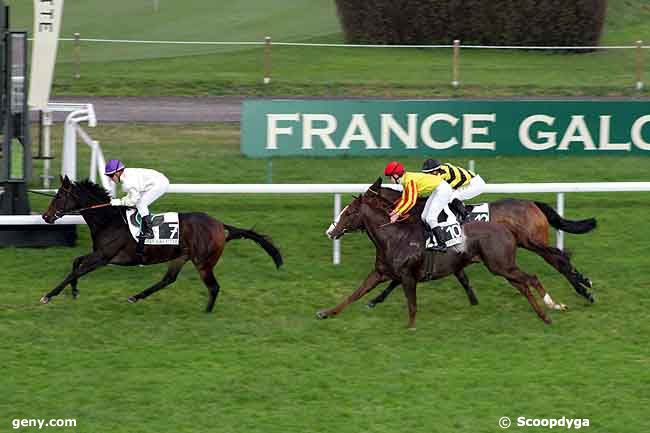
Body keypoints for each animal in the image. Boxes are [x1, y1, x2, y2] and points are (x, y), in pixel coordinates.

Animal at [40, 176, 282, 310]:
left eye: (59, 196)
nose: (45, 216)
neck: (109, 220)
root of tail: (220, 225)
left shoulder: (104, 257)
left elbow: (76, 270)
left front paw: (48, 296)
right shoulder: (99, 254)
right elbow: (76, 263)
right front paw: (74, 292)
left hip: (203, 262)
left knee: (213, 287)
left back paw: (206, 312)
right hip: (181, 257)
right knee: (168, 279)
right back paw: (135, 297)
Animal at [318, 177, 568, 326]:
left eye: (349, 213)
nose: (331, 231)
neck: (393, 235)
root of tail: (508, 227)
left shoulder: (408, 276)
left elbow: (411, 304)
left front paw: (410, 329)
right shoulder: (380, 272)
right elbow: (355, 294)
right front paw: (326, 313)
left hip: (501, 265)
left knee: (531, 278)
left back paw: (553, 306)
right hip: (503, 266)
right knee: (523, 284)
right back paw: (545, 314)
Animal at [362, 186, 596, 308]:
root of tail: (532, 203)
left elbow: (397, 279)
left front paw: (375, 299)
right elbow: (461, 276)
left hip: (533, 241)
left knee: (559, 258)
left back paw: (584, 288)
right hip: (533, 242)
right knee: (559, 259)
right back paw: (583, 287)